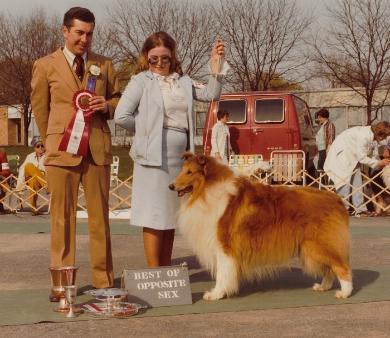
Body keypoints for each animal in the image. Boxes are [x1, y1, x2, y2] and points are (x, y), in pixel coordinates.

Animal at [168, 152, 354, 300]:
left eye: (190, 172)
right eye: (183, 170)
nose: (171, 186)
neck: (206, 190)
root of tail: (335, 199)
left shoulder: (224, 247)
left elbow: (222, 273)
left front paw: (216, 294)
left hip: (320, 244)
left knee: (342, 267)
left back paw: (344, 293)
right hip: (313, 247)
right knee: (329, 269)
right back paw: (323, 287)